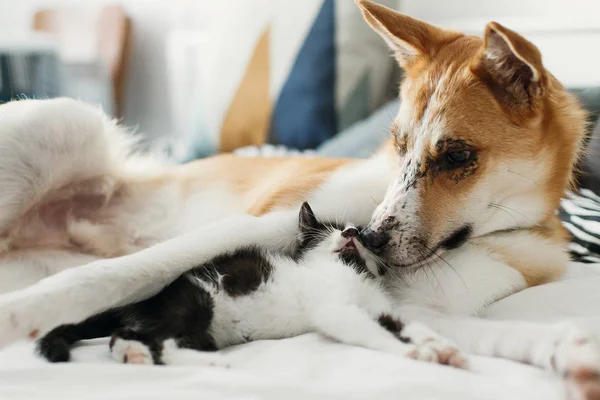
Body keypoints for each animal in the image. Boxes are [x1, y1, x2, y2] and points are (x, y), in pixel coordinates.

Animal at [37, 202, 466, 368]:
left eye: (358, 233)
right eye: (329, 228)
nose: (349, 232)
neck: (351, 271)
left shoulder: (379, 306)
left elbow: (403, 323)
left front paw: (439, 345)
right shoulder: (335, 308)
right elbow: (367, 330)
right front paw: (413, 353)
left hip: (202, 326)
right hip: (196, 302)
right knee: (144, 338)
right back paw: (200, 361)